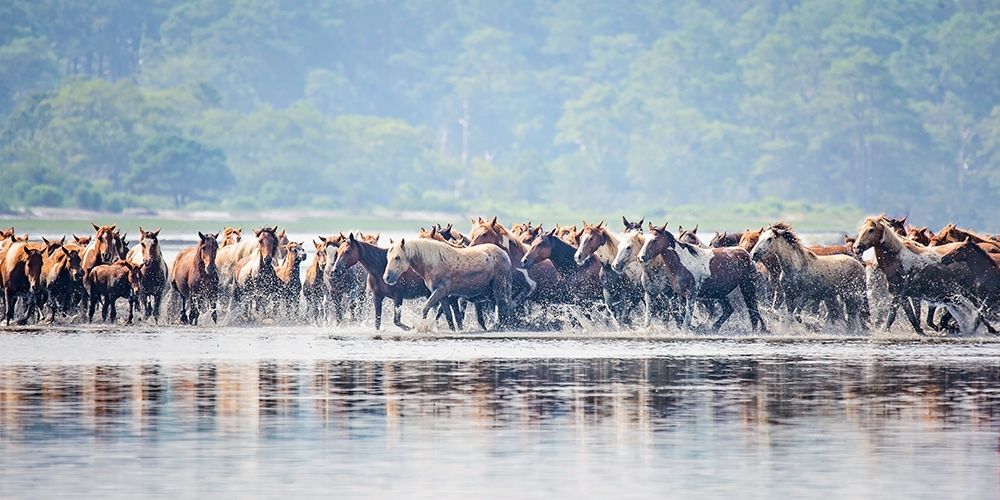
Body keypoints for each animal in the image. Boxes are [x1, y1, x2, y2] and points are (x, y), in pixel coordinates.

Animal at [383, 238, 513, 330]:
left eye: (397, 257)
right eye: (388, 257)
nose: (387, 278)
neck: (433, 263)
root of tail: (505, 255)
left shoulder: (440, 292)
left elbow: (426, 308)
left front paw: (421, 327)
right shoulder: (443, 296)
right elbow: (449, 315)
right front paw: (453, 330)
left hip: (498, 288)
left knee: (503, 306)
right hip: (490, 292)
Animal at [853, 216, 989, 335]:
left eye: (871, 229)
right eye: (860, 230)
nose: (856, 247)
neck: (897, 260)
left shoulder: (899, 294)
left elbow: (892, 315)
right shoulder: (903, 295)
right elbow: (910, 315)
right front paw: (920, 331)